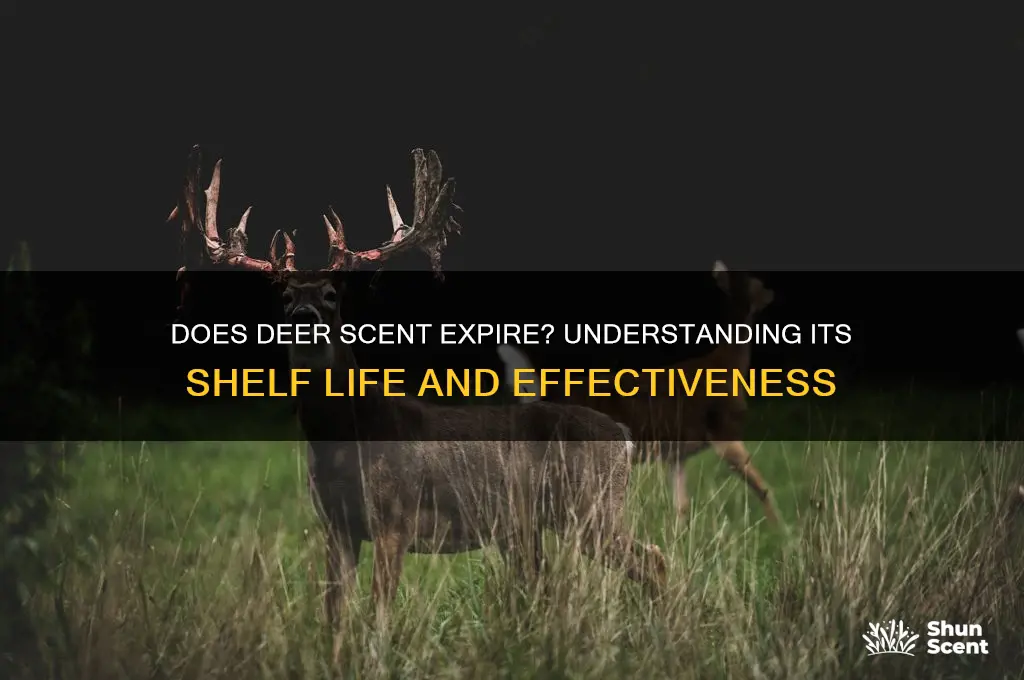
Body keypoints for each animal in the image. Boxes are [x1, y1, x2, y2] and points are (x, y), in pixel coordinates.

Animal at [165, 146, 667, 628]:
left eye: (332, 294)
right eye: (285, 297)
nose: (303, 319)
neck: (344, 440)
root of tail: (623, 438)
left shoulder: (395, 517)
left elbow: (379, 614)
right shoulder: (335, 525)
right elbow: (333, 616)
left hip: (593, 506)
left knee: (655, 560)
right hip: (528, 525)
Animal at [497, 261, 779, 526]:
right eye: (754, 282)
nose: (771, 293)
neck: (729, 363)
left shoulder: (675, 456)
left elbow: (681, 506)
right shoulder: (724, 433)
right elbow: (763, 487)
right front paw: (781, 531)